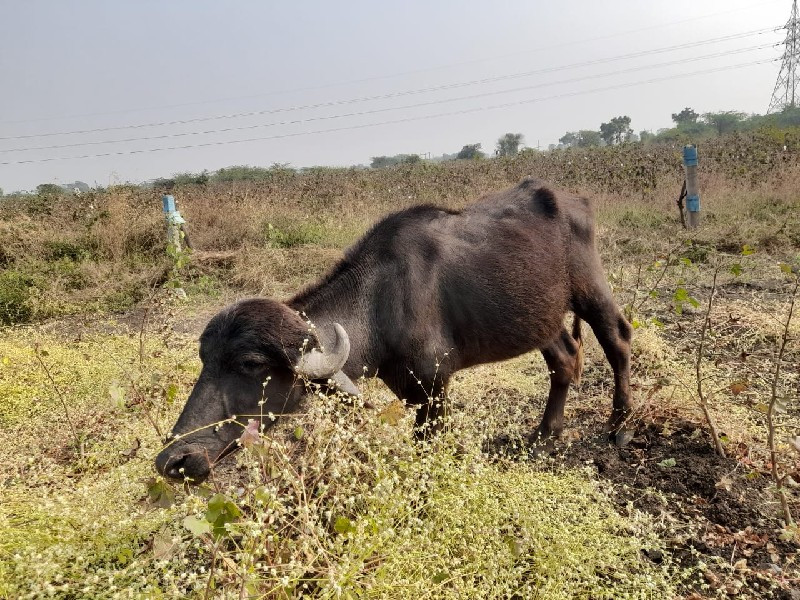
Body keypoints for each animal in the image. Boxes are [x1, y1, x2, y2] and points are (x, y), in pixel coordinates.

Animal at [155, 179, 632, 482]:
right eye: (204, 360)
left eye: (251, 363)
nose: (174, 460)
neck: (380, 302)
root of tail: (574, 200)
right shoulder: (406, 387)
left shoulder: (436, 389)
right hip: (540, 316)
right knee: (565, 358)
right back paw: (545, 433)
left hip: (591, 289)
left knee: (618, 339)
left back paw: (619, 424)